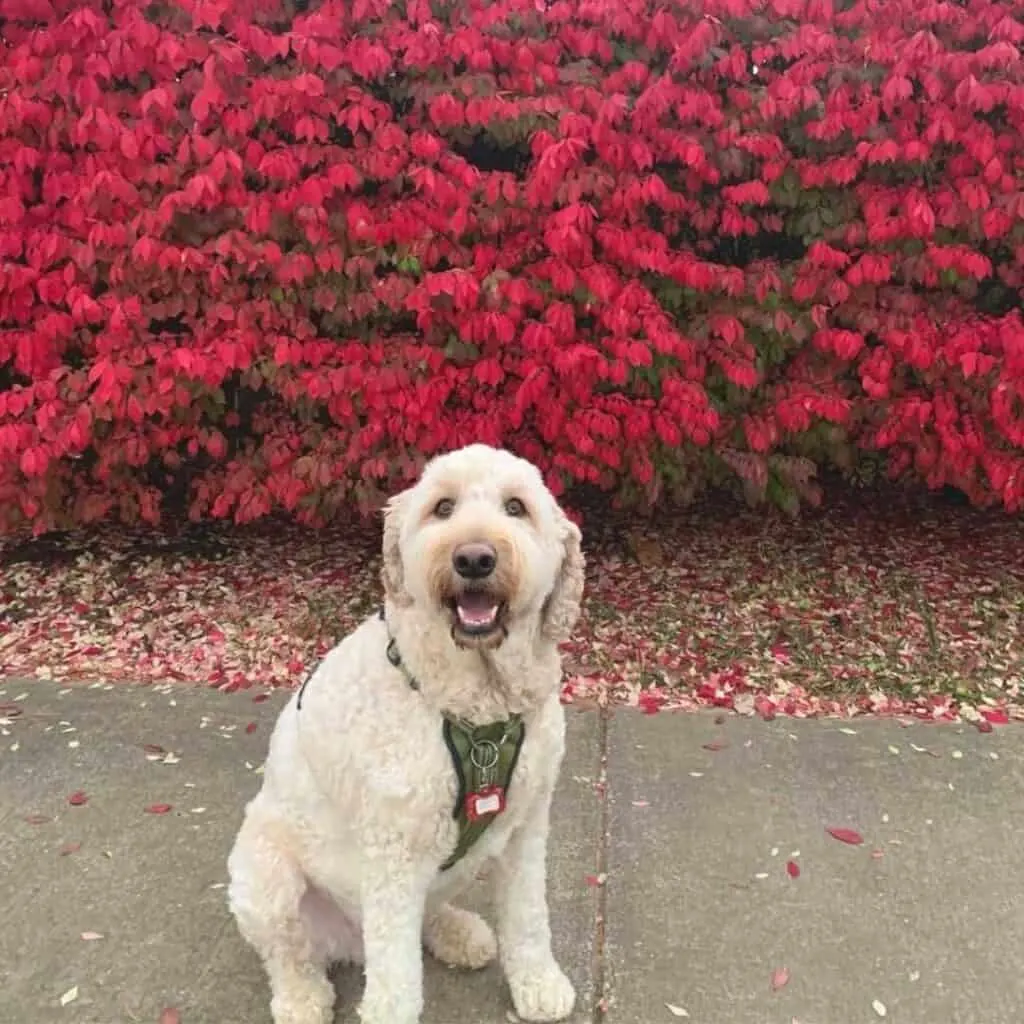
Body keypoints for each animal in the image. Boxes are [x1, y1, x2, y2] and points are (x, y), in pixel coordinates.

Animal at [228, 446, 589, 1024]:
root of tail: (348, 942)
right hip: (266, 877)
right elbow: (396, 974)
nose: (473, 559)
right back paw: (302, 997)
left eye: (516, 507)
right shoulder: (392, 853)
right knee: (289, 953)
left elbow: (529, 917)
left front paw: (538, 982)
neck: (477, 705)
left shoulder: (526, 827)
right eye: (443, 507)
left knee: (424, 917)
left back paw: (457, 932)